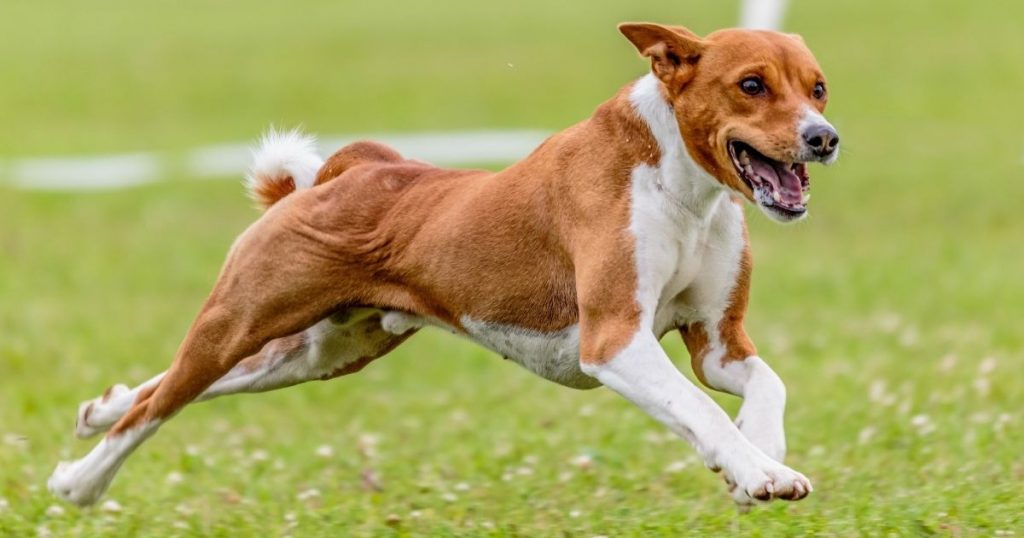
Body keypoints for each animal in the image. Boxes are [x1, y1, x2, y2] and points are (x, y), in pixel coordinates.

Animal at [48, 22, 839, 508]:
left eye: (818, 86)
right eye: (751, 85)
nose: (824, 137)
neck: (682, 189)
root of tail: (353, 168)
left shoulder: (716, 341)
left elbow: (764, 385)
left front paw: (761, 455)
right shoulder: (615, 338)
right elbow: (701, 411)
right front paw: (756, 469)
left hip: (319, 352)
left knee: (179, 386)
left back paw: (98, 409)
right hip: (241, 318)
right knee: (159, 406)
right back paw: (79, 483)